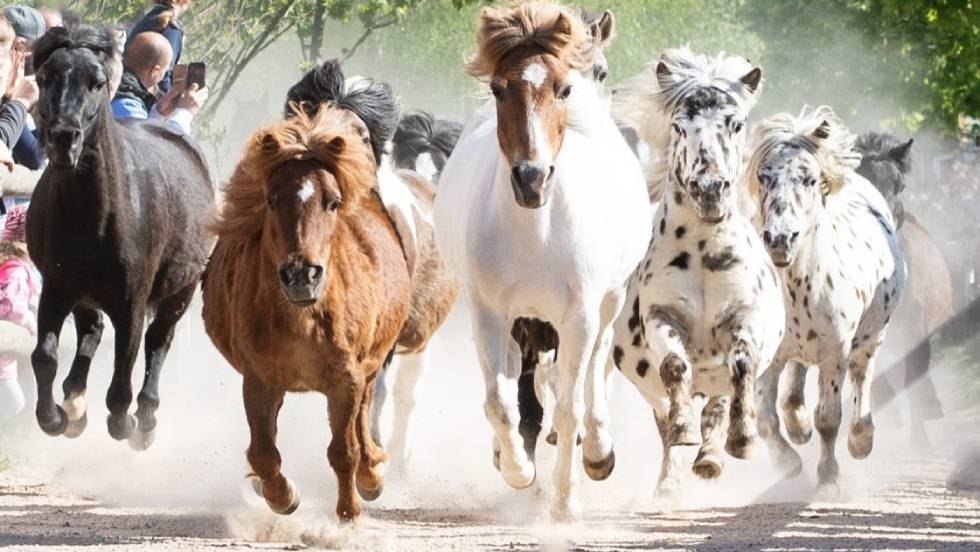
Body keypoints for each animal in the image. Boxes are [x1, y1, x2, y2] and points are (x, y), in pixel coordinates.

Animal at [26, 25, 214, 449]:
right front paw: (56, 417)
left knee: (158, 341)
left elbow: (122, 378)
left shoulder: (132, 300)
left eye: (97, 82)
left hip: (182, 289)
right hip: (85, 293)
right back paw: (76, 403)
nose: (63, 138)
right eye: (44, 79)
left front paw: (125, 422)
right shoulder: (58, 286)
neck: (93, 217)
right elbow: (44, 356)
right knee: (92, 331)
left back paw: (145, 418)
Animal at [434, 2, 650, 520]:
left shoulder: (580, 317)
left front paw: (565, 501)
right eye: (498, 88)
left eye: (563, 88)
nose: (531, 179)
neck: (538, 232)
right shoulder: (491, 315)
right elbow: (500, 401)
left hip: (609, 304)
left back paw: (598, 453)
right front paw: (518, 468)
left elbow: (571, 405)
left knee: (594, 371)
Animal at [609, 48, 784, 499]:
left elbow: (741, 365)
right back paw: (673, 475)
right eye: (678, 124)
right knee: (668, 411)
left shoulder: (743, 318)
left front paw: (742, 440)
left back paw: (710, 458)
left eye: (735, 123)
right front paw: (683, 433)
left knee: (719, 403)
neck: (704, 254)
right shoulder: (661, 318)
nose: (709, 189)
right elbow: (675, 368)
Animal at [747, 106, 907, 491]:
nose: (779, 239)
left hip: (871, 338)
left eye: (808, 179)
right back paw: (798, 426)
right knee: (794, 385)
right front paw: (788, 462)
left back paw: (861, 439)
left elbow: (829, 418)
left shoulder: (836, 354)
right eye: (763, 175)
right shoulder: (768, 355)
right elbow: (766, 417)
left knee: (862, 378)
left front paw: (828, 477)